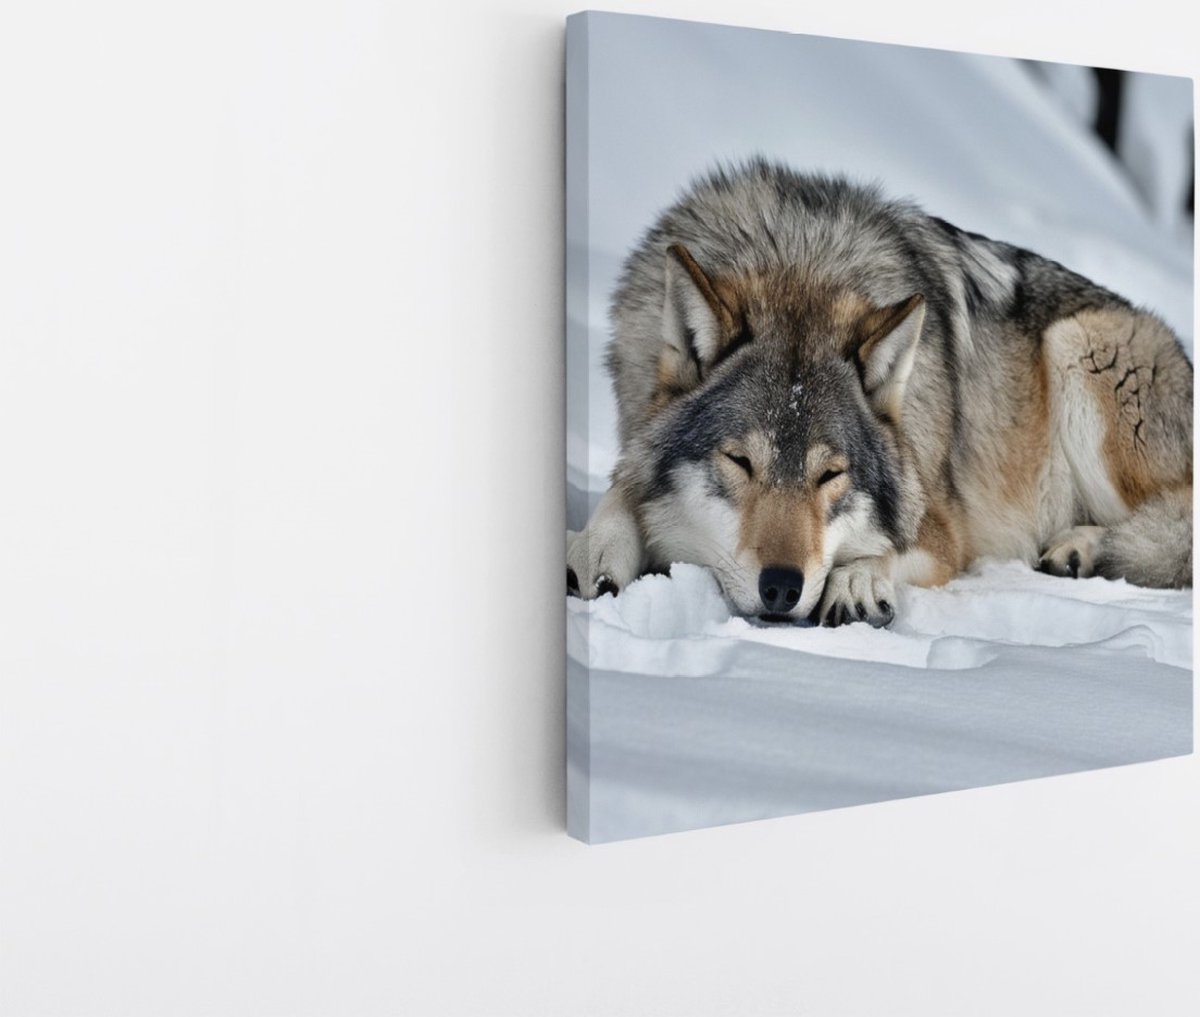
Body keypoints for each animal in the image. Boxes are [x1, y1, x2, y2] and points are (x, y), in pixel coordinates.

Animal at [567, 159, 1193, 626]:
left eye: (830, 475)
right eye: (740, 462)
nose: (781, 587)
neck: (801, 259)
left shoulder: (943, 529)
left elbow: (886, 544)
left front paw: (857, 580)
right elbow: (623, 492)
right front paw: (592, 550)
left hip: (1079, 346)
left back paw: (1081, 549)